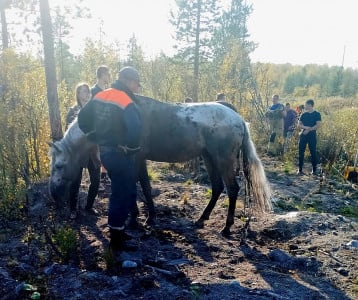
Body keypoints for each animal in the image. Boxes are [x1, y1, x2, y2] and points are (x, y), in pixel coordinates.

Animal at [48, 96, 272, 234]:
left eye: (58, 165)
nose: (53, 194)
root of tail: (238, 118)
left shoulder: (135, 158)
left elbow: (138, 186)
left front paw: (139, 218)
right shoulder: (137, 159)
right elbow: (142, 187)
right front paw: (146, 217)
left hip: (223, 160)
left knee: (232, 189)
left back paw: (226, 228)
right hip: (209, 158)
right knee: (217, 187)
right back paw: (201, 219)